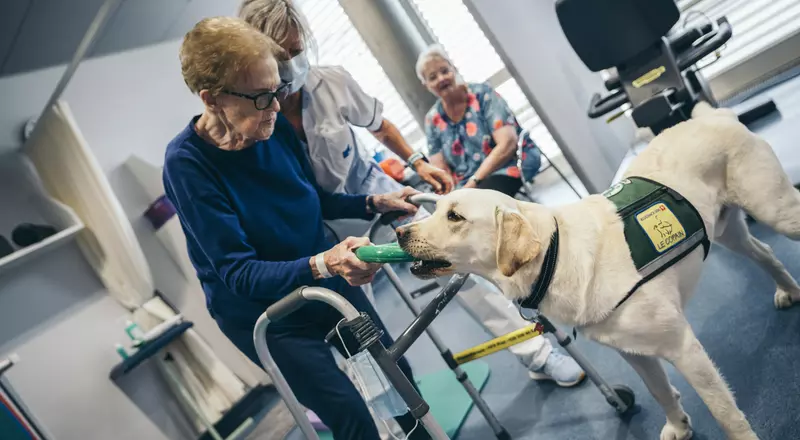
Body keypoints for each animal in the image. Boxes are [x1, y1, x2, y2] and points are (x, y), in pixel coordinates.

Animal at [396, 101, 800, 438]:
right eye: (436, 208)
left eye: (454, 216)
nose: (400, 232)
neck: (555, 256)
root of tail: (715, 115)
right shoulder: (634, 352)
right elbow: (659, 391)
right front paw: (677, 425)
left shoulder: (684, 347)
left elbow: (725, 414)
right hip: (730, 231)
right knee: (766, 252)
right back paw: (788, 290)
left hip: (776, 210)